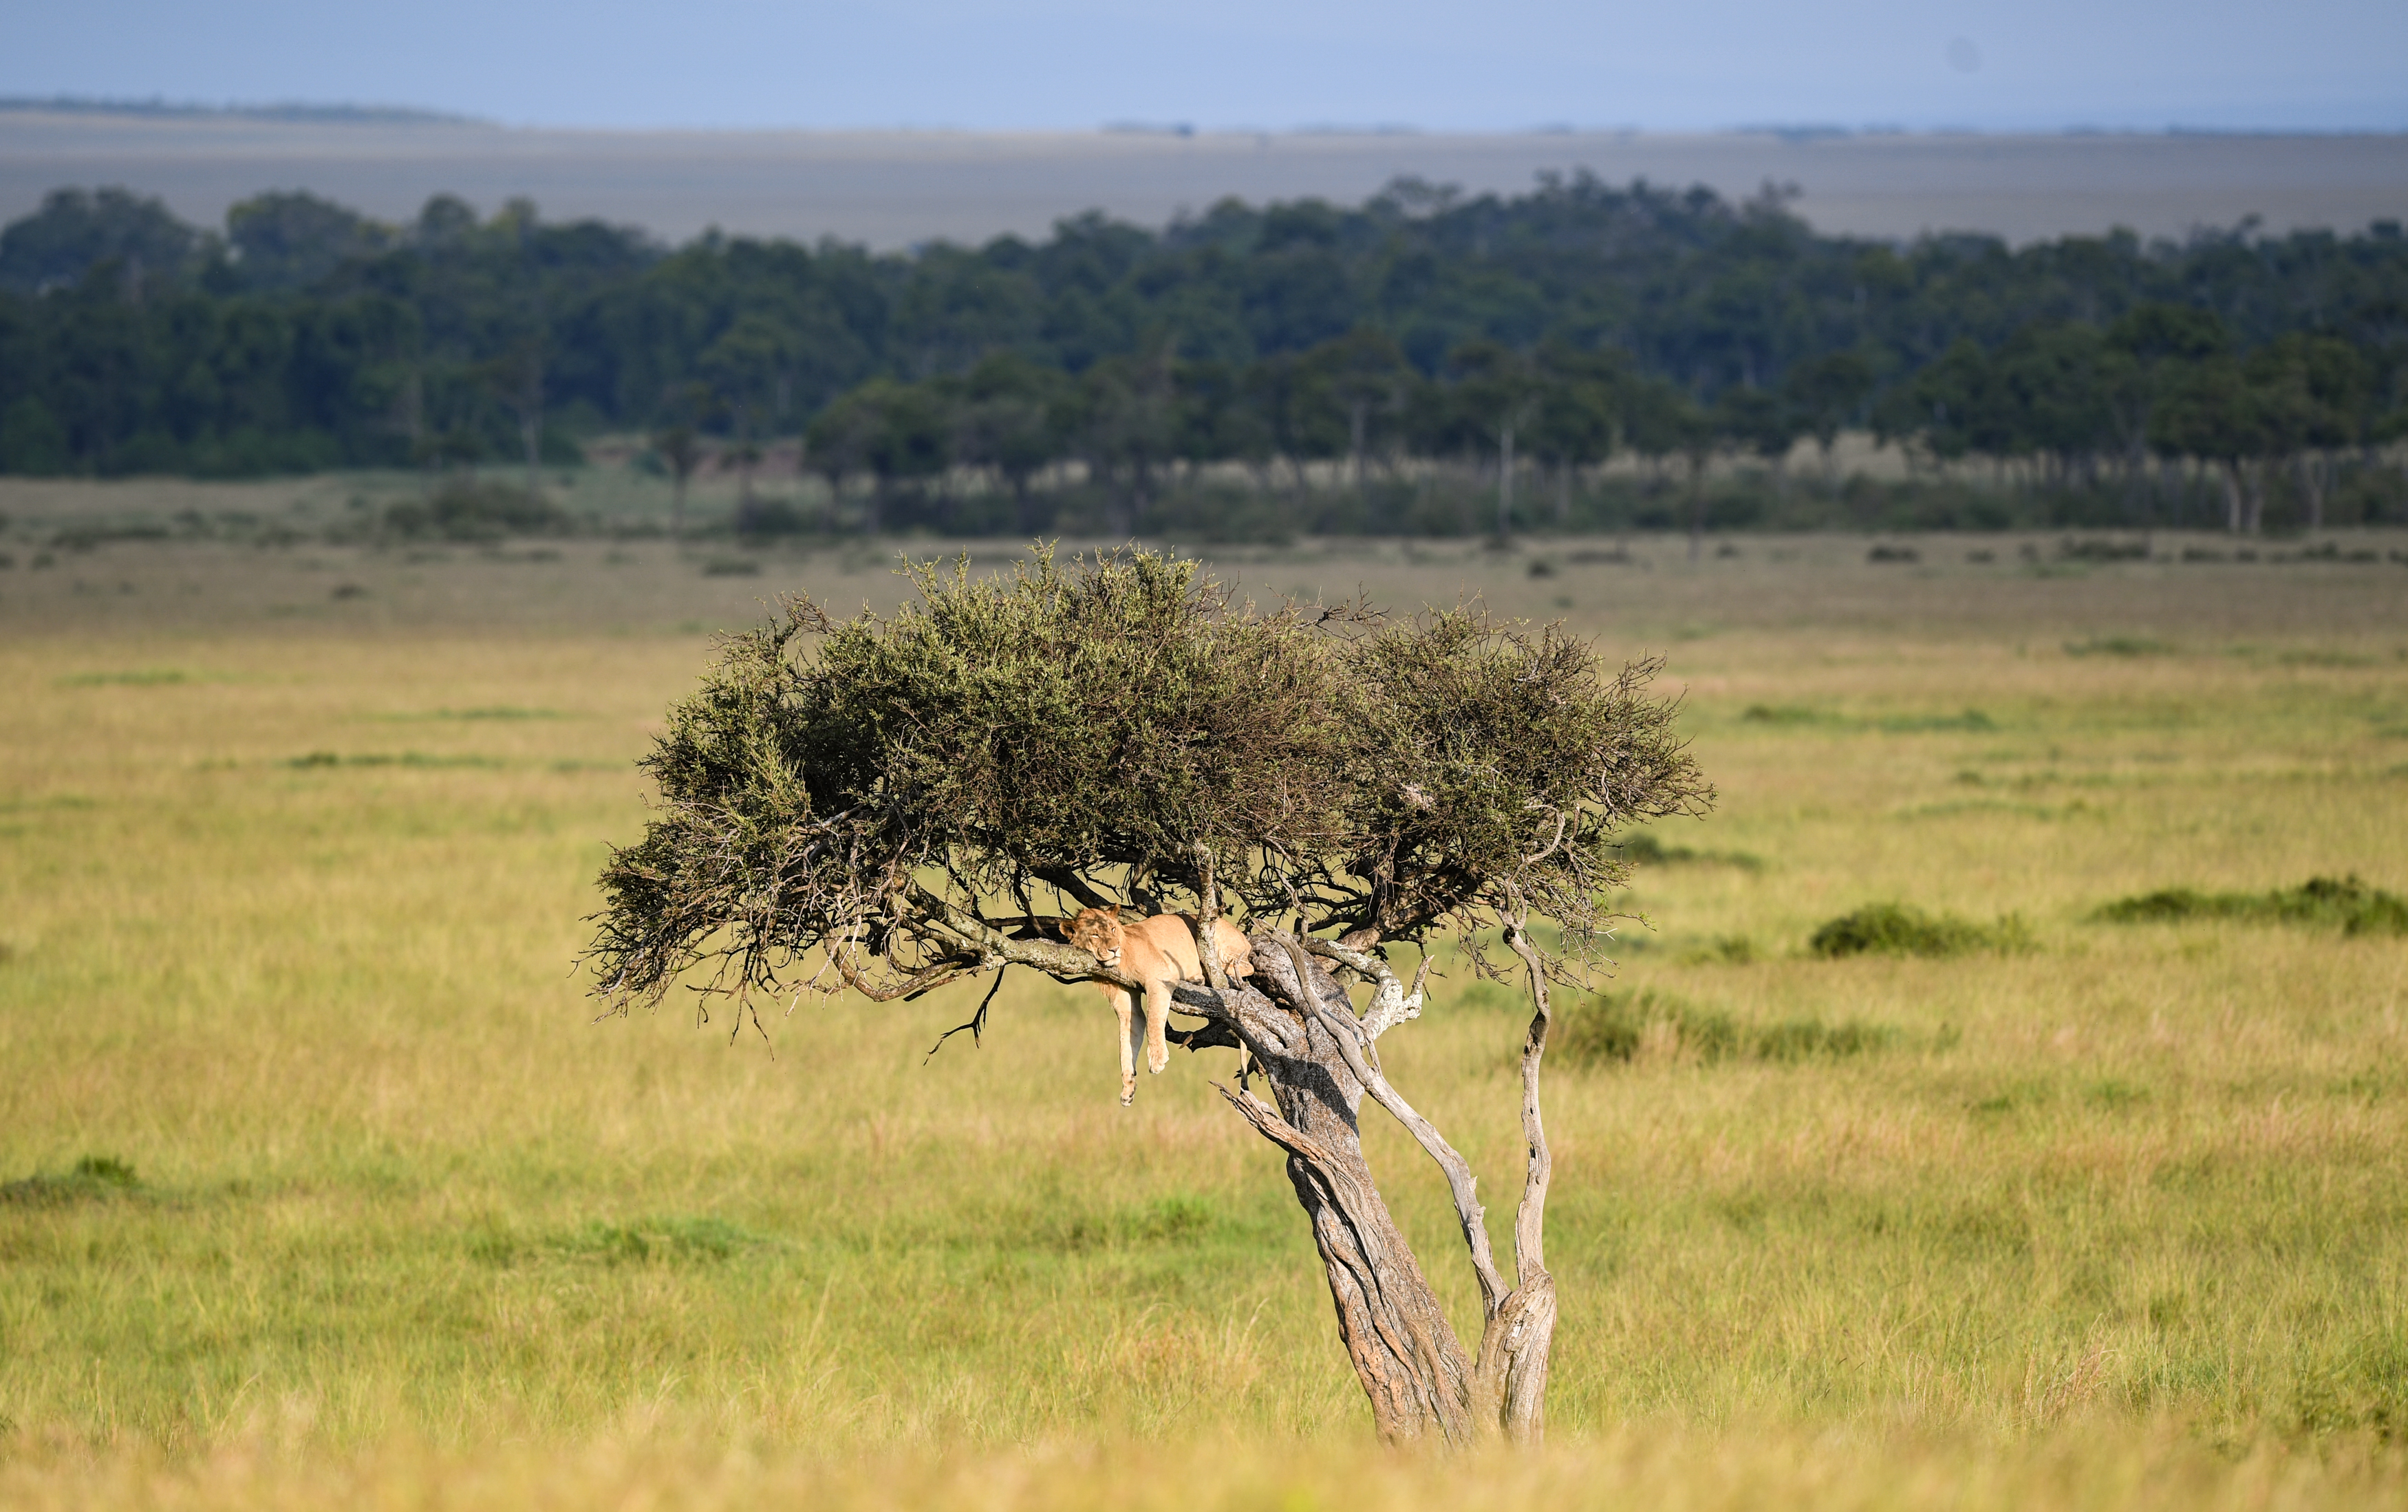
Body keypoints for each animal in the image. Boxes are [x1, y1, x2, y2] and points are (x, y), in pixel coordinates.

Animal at [1074, 905, 1262, 1103]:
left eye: (1112, 930)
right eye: (1095, 935)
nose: (1113, 949)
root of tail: (1243, 936)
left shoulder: (1159, 976)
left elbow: (1153, 1018)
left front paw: (1157, 1060)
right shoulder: (1124, 996)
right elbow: (1128, 1039)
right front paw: (1128, 1087)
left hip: (1219, 941)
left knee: (1246, 967)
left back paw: (1203, 976)